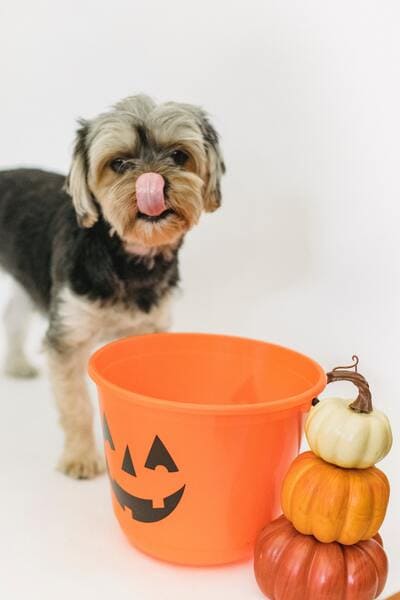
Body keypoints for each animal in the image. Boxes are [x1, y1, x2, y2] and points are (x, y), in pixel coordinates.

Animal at [0, 94, 225, 478]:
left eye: (179, 155)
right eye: (118, 163)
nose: (154, 182)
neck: (129, 258)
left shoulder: (148, 328)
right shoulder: (68, 334)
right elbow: (75, 404)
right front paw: (80, 458)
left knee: (15, 313)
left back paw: (16, 363)